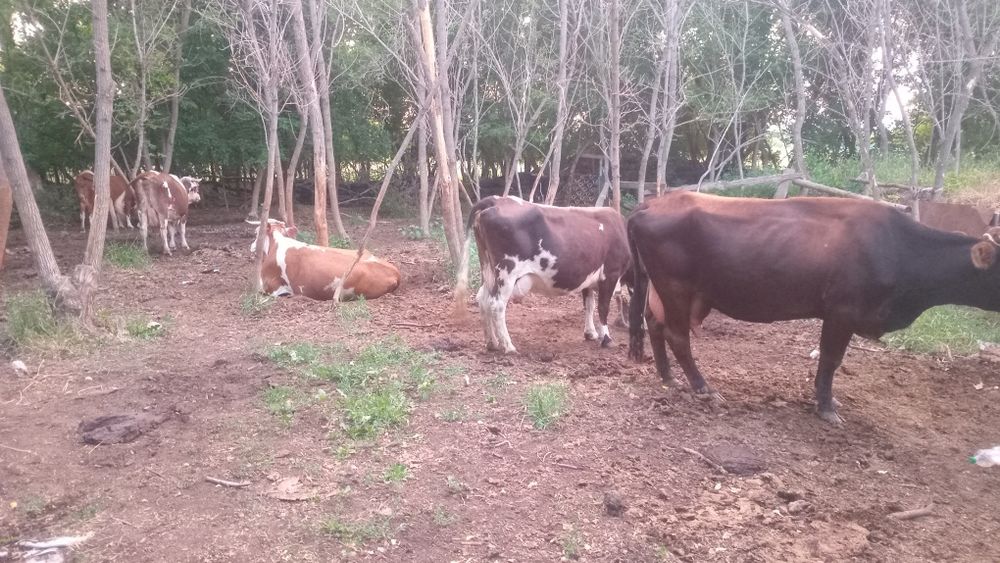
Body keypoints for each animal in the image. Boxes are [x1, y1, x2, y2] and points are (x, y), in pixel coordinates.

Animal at [456, 196, 631, 354]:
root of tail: (497, 199)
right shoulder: (611, 274)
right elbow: (603, 306)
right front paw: (606, 338)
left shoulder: (588, 276)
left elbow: (589, 305)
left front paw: (590, 333)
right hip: (507, 272)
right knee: (496, 304)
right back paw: (508, 346)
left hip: (488, 270)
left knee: (483, 298)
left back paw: (492, 343)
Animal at [627, 191, 1000, 425]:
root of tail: (653, 203)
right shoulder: (841, 312)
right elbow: (831, 360)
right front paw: (825, 407)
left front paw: (828, 402)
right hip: (676, 287)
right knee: (677, 336)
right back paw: (704, 388)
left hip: (665, 290)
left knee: (654, 324)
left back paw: (668, 378)